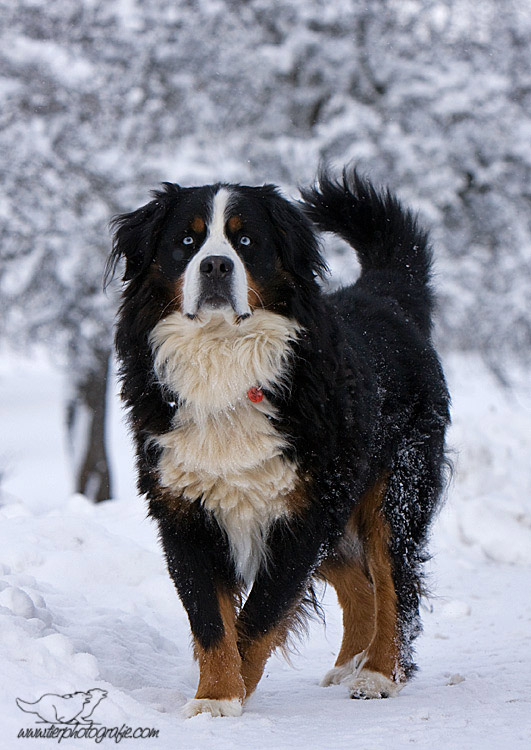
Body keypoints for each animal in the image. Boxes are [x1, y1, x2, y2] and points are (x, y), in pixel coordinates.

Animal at [106, 167, 450, 720]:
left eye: (245, 241)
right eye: (187, 241)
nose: (217, 265)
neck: (224, 364)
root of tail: (384, 297)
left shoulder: (302, 516)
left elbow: (259, 618)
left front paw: (229, 696)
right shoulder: (184, 511)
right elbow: (211, 622)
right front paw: (214, 695)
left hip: (392, 491)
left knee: (393, 582)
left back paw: (377, 673)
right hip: (338, 509)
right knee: (360, 586)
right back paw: (348, 665)